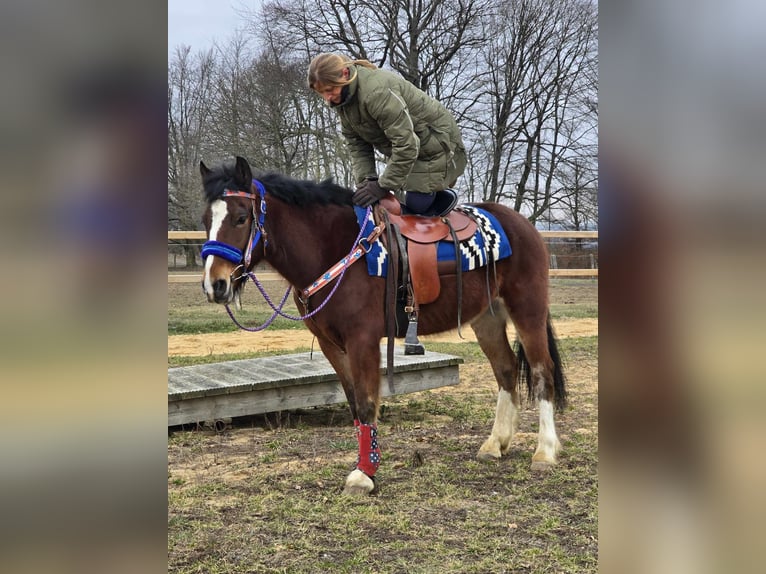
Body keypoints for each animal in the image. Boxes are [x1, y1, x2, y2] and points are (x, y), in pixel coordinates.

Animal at [201, 156, 568, 496]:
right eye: (206, 220)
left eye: (241, 217)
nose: (215, 285)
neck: (334, 248)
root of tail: (522, 224)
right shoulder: (331, 345)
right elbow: (353, 403)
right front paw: (365, 467)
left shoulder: (362, 340)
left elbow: (366, 403)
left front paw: (364, 474)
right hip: (487, 317)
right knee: (506, 369)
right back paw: (496, 443)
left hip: (527, 311)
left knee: (541, 371)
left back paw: (545, 452)